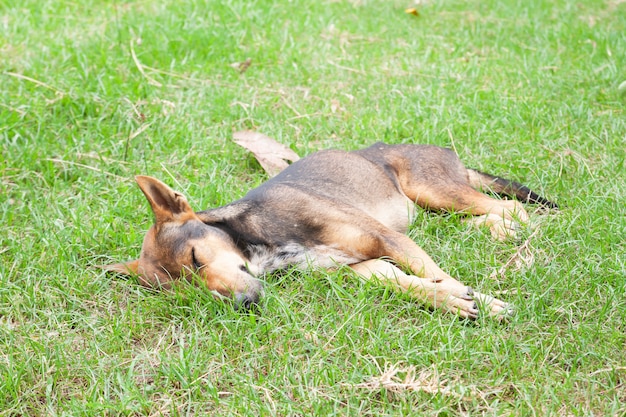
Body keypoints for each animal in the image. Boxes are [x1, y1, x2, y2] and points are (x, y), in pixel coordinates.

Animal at [102, 142, 556, 318]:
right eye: (185, 293)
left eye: (196, 260)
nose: (242, 305)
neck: (262, 241)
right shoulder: (365, 267)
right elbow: (415, 285)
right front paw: (454, 302)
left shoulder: (389, 239)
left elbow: (438, 275)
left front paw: (478, 300)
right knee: (494, 214)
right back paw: (490, 232)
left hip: (435, 190)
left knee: (513, 206)